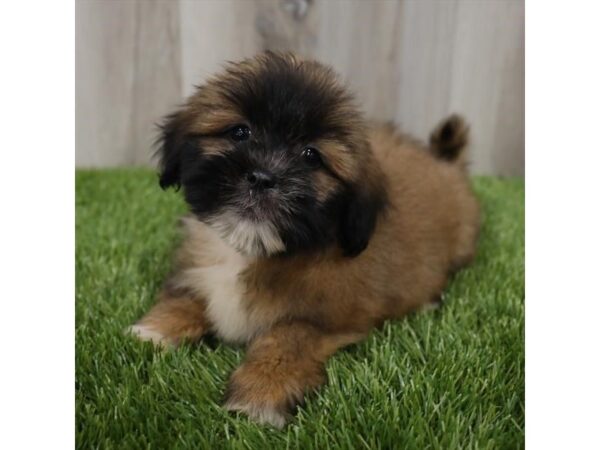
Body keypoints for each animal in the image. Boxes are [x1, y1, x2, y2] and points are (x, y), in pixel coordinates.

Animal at [129, 51, 480, 428]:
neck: (251, 249)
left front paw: (261, 391)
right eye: (240, 132)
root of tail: (447, 164)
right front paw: (153, 330)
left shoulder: (326, 316)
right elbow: (187, 296)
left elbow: (287, 338)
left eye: (311, 156)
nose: (263, 177)